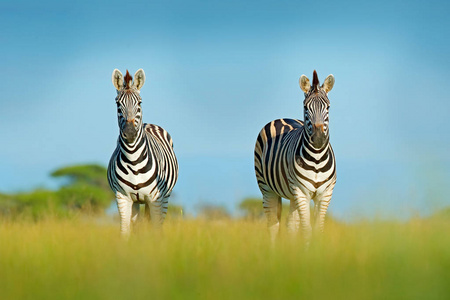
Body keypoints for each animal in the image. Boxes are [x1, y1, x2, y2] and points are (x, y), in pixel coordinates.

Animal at [108, 68, 178, 237]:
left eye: (139, 102)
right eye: (118, 103)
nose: (130, 133)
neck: (133, 160)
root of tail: (149, 124)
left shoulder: (155, 198)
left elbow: (156, 230)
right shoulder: (122, 197)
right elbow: (125, 231)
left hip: (164, 198)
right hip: (137, 202)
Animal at [255, 69, 336, 241]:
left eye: (328, 107)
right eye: (305, 107)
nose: (318, 139)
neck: (317, 158)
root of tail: (281, 117)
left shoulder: (325, 194)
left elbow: (318, 229)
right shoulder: (301, 192)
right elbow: (306, 230)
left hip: (292, 195)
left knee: (290, 225)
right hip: (267, 188)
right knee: (273, 226)